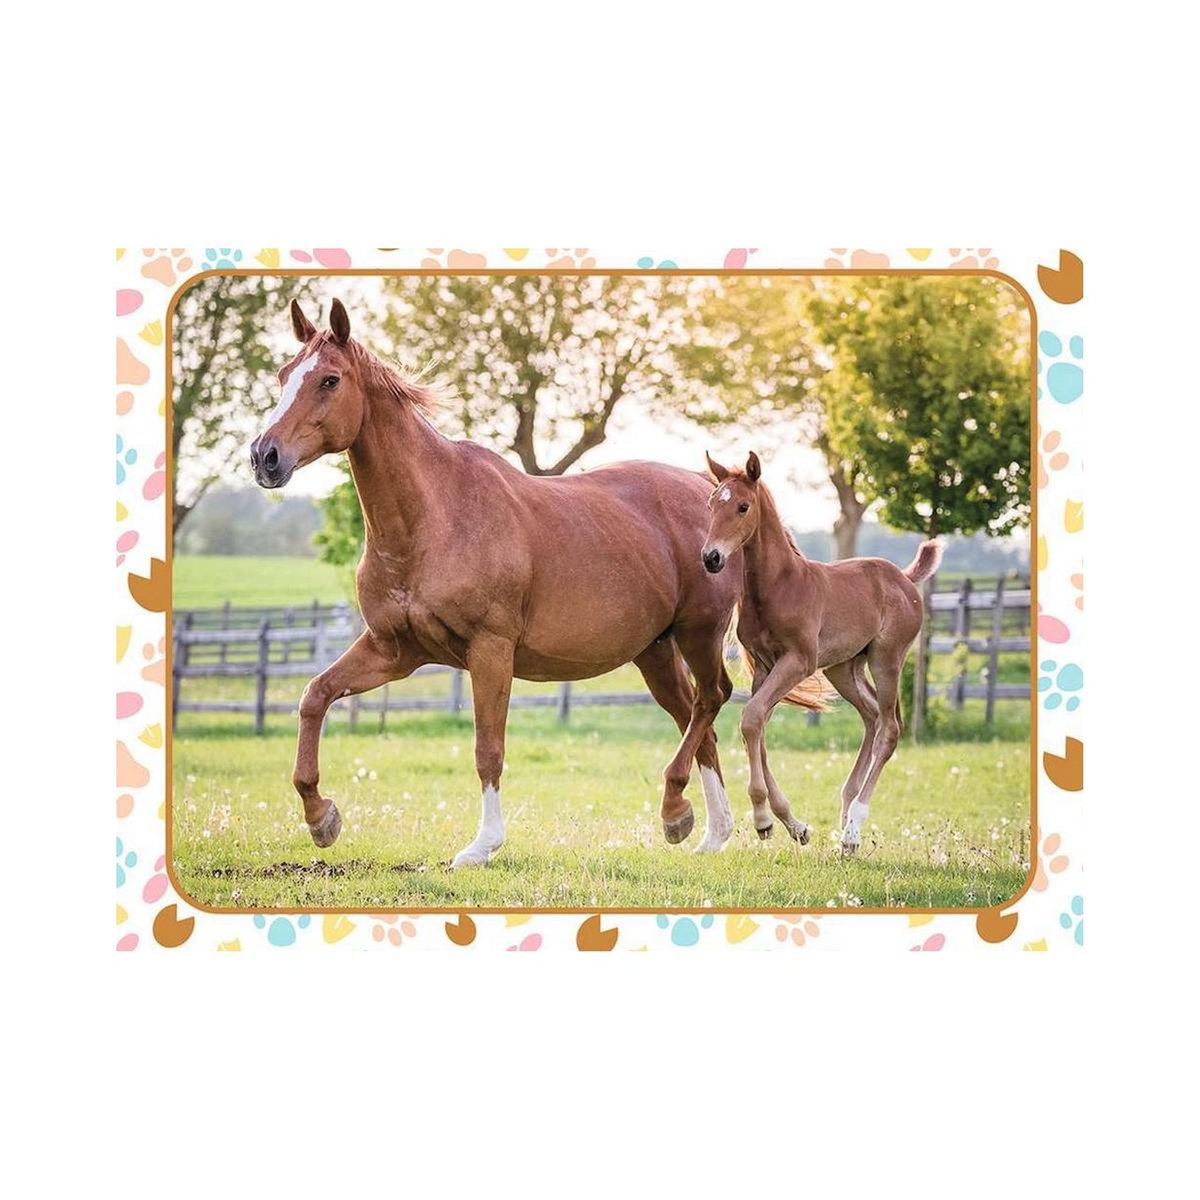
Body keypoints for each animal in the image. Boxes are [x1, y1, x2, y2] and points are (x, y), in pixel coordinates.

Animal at [250, 297, 753, 866]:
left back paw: (676, 810)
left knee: (711, 700)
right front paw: (321, 818)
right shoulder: (393, 650)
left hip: (699, 634)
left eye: (330, 380)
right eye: (284, 375)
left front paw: (482, 846)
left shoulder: (490, 651)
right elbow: (315, 695)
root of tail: (712, 493)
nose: (264, 457)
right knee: (696, 719)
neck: (435, 516)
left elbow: (488, 749)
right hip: (655, 652)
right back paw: (705, 830)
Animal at [700, 450, 942, 853]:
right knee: (872, 717)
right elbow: (757, 725)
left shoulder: (798, 661)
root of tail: (905, 579)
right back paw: (846, 819)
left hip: (886, 659)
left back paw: (853, 828)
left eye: (742, 506)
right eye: (710, 504)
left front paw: (764, 820)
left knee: (890, 727)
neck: (779, 586)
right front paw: (792, 824)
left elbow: (751, 718)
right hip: (843, 668)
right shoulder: (764, 666)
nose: (711, 558)